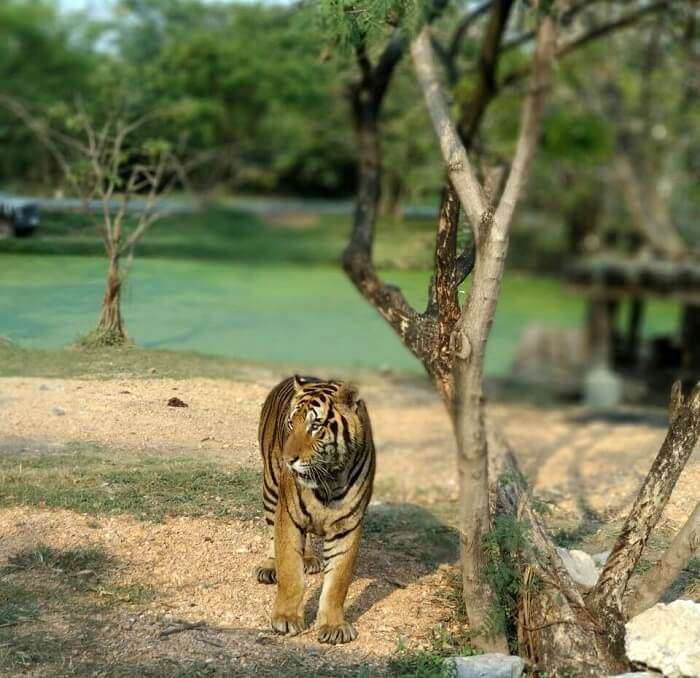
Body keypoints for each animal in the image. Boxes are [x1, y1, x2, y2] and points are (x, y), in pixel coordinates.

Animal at [254, 378, 374, 648]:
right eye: (291, 423)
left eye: (316, 426)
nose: (288, 460)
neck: (329, 480)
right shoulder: (288, 516)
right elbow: (289, 569)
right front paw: (286, 618)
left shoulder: (347, 526)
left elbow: (338, 581)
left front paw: (333, 626)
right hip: (271, 488)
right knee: (271, 531)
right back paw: (269, 566)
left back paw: (309, 558)